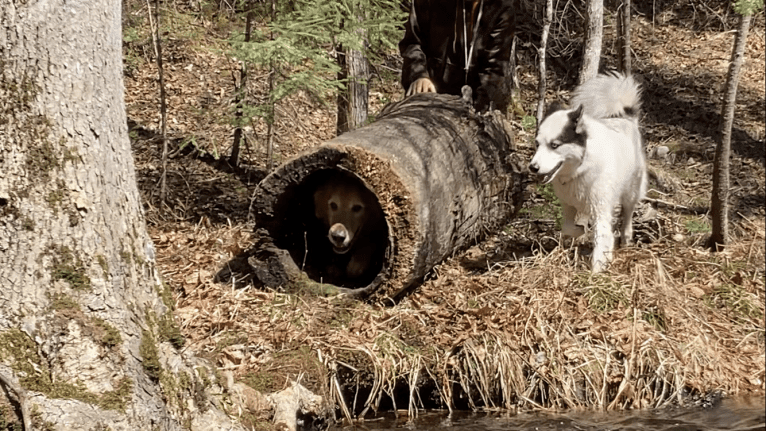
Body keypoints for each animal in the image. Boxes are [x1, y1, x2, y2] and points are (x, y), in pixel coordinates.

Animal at [536, 72, 648, 272]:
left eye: (554, 145)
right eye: (537, 144)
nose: (532, 167)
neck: (581, 167)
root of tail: (628, 118)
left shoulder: (601, 211)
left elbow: (602, 240)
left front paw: (596, 273)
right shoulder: (568, 205)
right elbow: (568, 228)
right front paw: (580, 232)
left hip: (631, 190)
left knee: (628, 214)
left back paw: (626, 237)